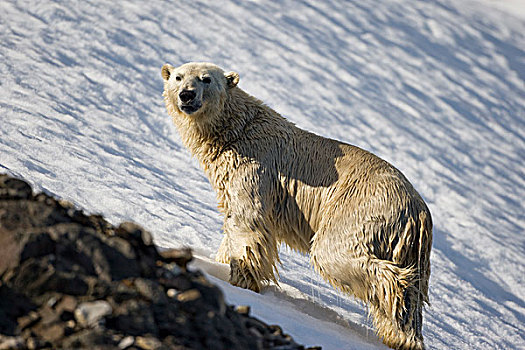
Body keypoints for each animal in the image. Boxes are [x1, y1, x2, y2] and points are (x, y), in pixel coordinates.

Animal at [162, 63, 432, 350]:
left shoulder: (253, 167)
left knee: (333, 253)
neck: (236, 130)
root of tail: (419, 211)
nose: (187, 95)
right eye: (178, 77)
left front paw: (241, 280)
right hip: (407, 245)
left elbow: (248, 223)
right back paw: (399, 334)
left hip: (359, 208)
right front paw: (222, 261)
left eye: (206, 79)